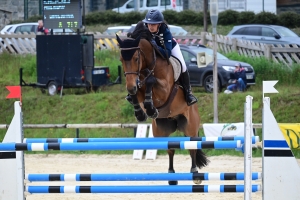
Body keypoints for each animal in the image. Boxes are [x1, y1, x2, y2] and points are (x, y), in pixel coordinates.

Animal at [116, 21, 209, 184]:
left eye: (136, 58)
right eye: (121, 59)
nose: (130, 86)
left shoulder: (164, 89)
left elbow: (151, 81)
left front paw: (150, 108)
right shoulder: (138, 86)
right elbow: (137, 94)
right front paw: (141, 113)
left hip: (190, 127)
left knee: (192, 147)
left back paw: (195, 173)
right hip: (161, 130)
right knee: (170, 149)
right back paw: (171, 176)